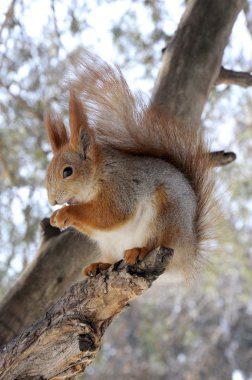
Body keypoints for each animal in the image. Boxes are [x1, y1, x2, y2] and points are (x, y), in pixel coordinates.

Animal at [44, 51, 215, 280]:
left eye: (68, 171)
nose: (52, 201)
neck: (99, 173)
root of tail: (189, 253)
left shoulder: (121, 187)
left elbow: (109, 215)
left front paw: (65, 213)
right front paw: (56, 218)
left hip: (165, 215)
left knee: (156, 242)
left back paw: (139, 250)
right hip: (109, 244)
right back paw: (100, 264)